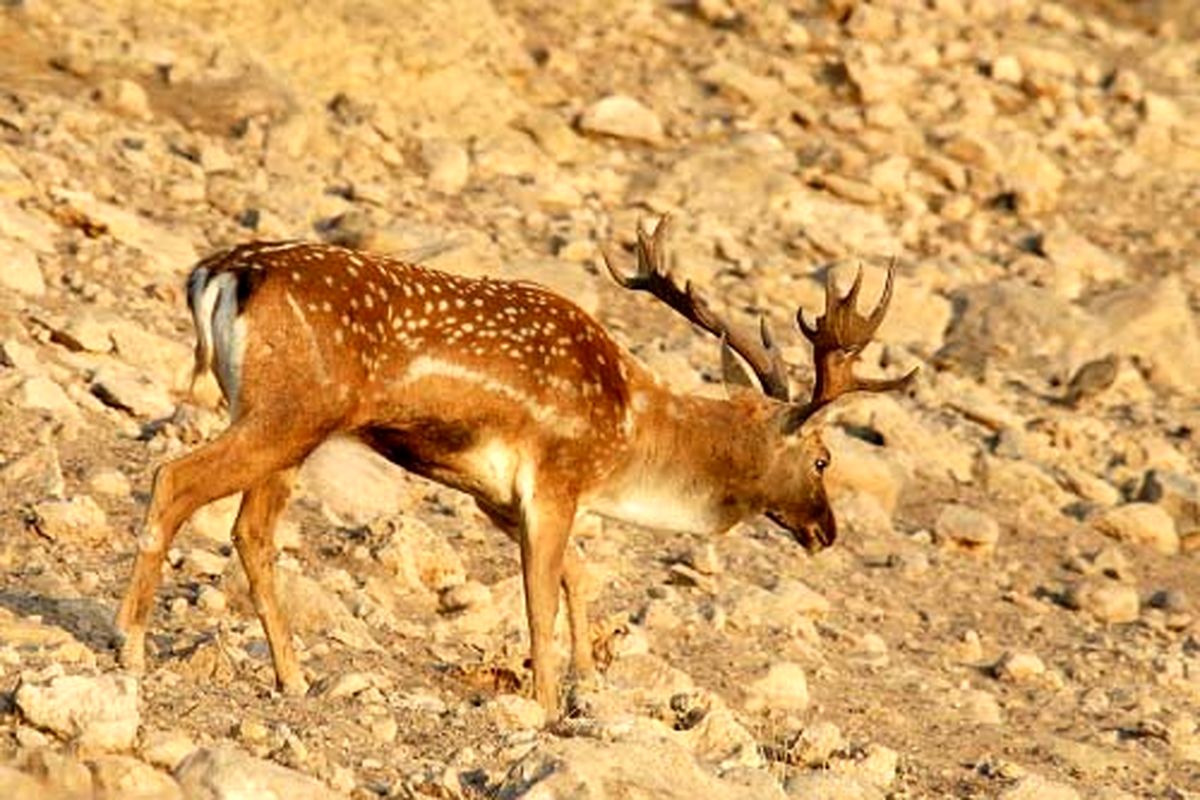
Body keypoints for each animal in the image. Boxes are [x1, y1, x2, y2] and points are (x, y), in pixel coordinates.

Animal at [114, 214, 916, 719]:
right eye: (823, 457)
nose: (828, 532)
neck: (627, 434)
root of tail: (215, 273)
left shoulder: (495, 496)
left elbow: (577, 577)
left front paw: (590, 685)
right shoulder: (557, 476)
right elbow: (538, 598)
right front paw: (546, 705)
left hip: (283, 424)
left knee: (249, 532)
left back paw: (295, 675)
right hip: (286, 412)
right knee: (174, 479)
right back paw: (130, 646)